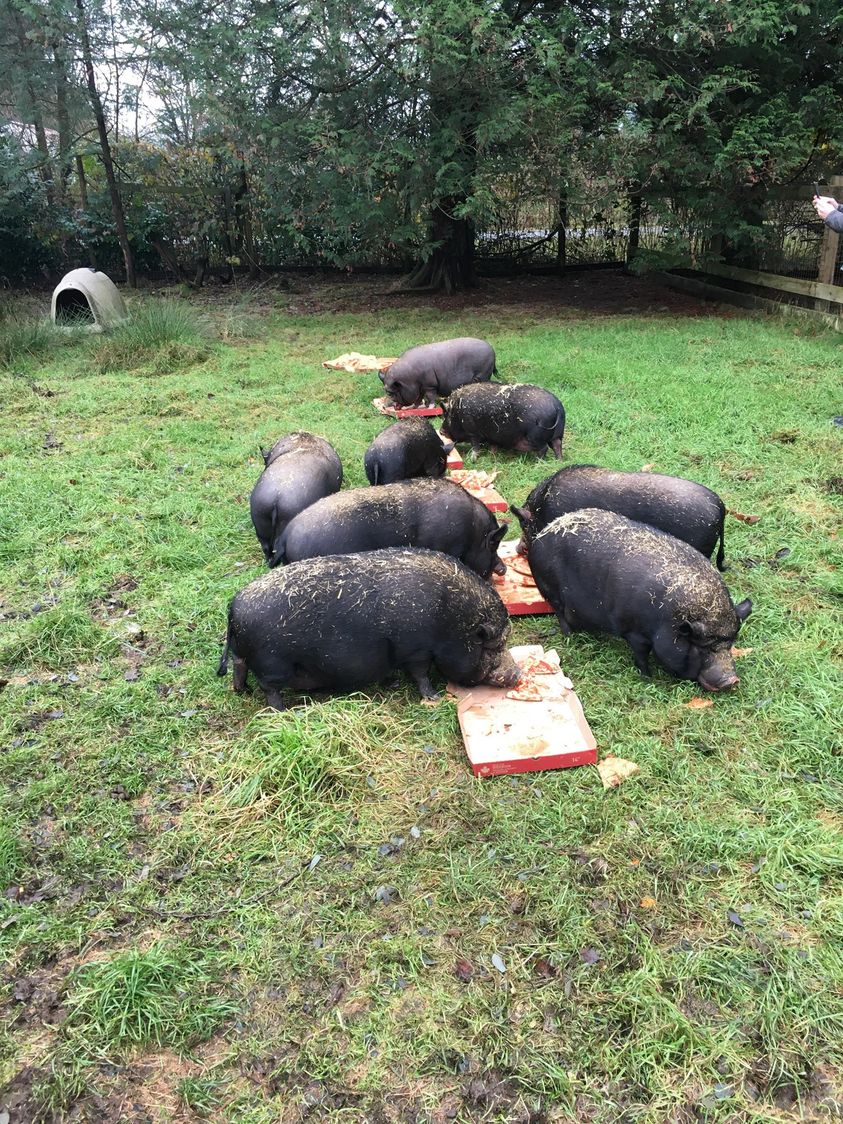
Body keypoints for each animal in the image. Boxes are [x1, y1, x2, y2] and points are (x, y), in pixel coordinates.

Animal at [218, 546, 521, 710]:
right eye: (495, 647)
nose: (518, 674)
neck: (449, 620)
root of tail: (234, 608)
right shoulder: (416, 649)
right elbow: (420, 674)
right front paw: (434, 697)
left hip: (245, 656)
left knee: (238, 667)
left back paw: (241, 691)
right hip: (273, 664)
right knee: (269, 689)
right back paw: (285, 711)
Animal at [530, 508, 755, 683]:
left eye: (730, 644)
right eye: (703, 648)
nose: (732, 681)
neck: (666, 621)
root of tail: (542, 533)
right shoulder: (634, 631)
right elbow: (641, 655)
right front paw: (648, 677)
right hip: (550, 589)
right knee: (561, 614)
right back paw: (571, 636)